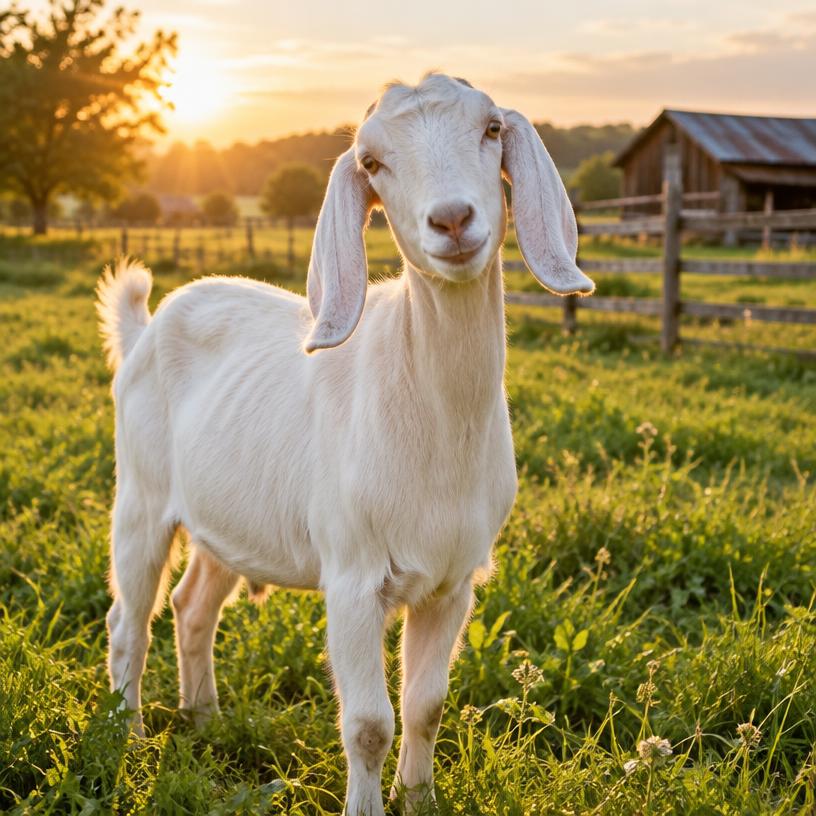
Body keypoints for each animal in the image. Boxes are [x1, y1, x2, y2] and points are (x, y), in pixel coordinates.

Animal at [97, 73, 593, 816]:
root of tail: (146, 328)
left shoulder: (453, 582)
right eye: (372, 162)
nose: (452, 220)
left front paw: (421, 800)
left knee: (193, 606)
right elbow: (367, 724)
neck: (437, 420)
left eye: (492, 130)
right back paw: (125, 740)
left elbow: (426, 707)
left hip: (229, 517)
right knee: (129, 620)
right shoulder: (354, 578)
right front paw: (369, 805)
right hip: (141, 497)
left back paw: (204, 719)